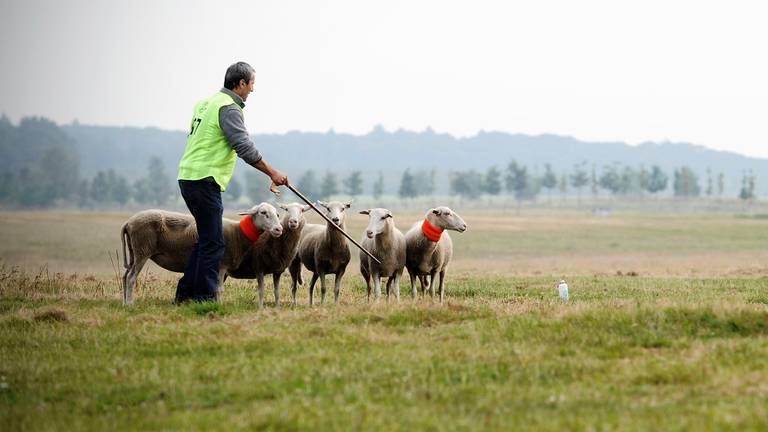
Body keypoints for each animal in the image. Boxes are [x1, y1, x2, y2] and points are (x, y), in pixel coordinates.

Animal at [121, 202, 284, 306]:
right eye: (263, 213)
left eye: (277, 214)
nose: (279, 229)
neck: (238, 233)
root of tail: (128, 222)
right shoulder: (221, 265)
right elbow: (218, 288)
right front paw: (219, 305)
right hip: (142, 249)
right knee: (131, 278)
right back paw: (130, 303)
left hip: (134, 251)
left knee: (125, 276)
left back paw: (123, 302)